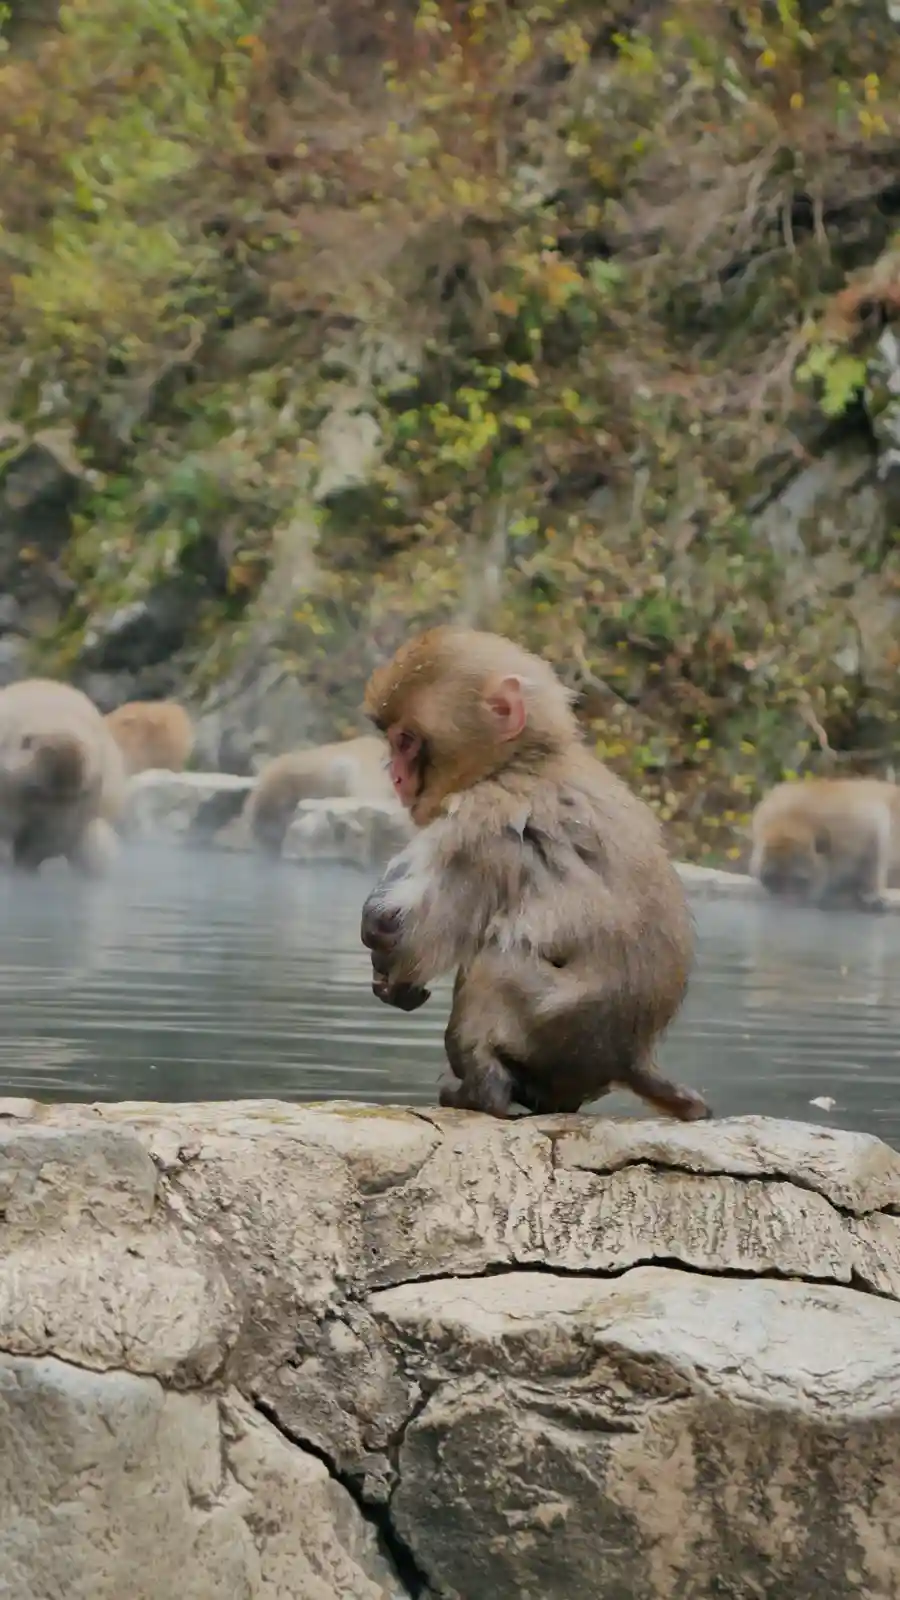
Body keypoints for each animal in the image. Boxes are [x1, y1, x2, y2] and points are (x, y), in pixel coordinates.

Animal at [359, 627, 710, 1122]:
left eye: (406, 741)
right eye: (393, 741)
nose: (395, 777)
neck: (528, 756)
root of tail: (631, 1056)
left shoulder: (486, 818)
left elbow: (414, 929)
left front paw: (386, 952)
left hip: (558, 1023)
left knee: (496, 964)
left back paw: (483, 1093)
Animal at [749, 777, 900, 911]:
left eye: (798, 881)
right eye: (773, 880)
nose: (785, 902)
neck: (794, 819)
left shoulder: (850, 826)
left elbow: (877, 829)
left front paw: (871, 891)